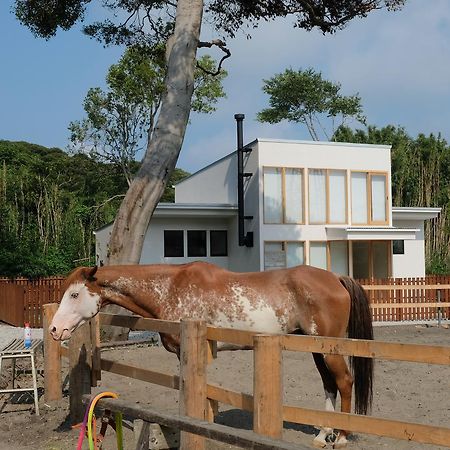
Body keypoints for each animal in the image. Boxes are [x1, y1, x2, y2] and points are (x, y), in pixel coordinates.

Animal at [48, 262, 372, 448]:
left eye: (74, 294)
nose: (55, 329)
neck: (171, 287)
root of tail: (336, 278)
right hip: (315, 347)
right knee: (329, 384)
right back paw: (323, 434)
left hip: (330, 348)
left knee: (344, 381)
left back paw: (342, 436)